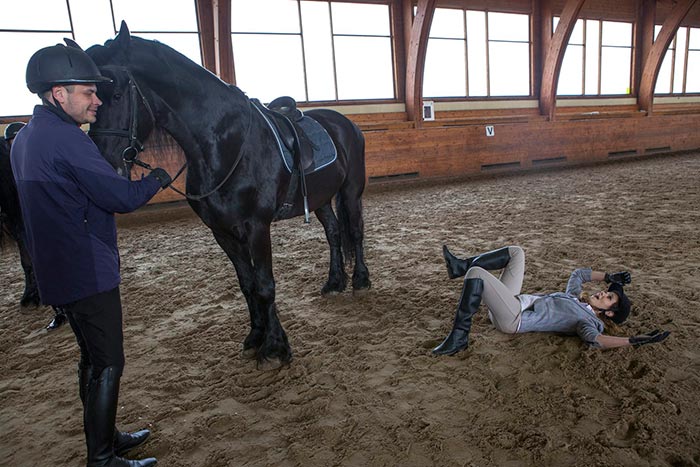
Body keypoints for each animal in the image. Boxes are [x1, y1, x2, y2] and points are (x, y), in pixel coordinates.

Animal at [85, 23, 372, 372]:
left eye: (115, 94)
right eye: (91, 96)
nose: (105, 164)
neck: (224, 142)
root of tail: (346, 123)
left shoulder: (257, 226)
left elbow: (265, 285)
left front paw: (274, 348)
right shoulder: (222, 232)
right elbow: (247, 285)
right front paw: (256, 337)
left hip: (350, 190)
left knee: (354, 231)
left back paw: (360, 280)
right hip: (320, 199)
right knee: (333, 233)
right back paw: (334, 282)